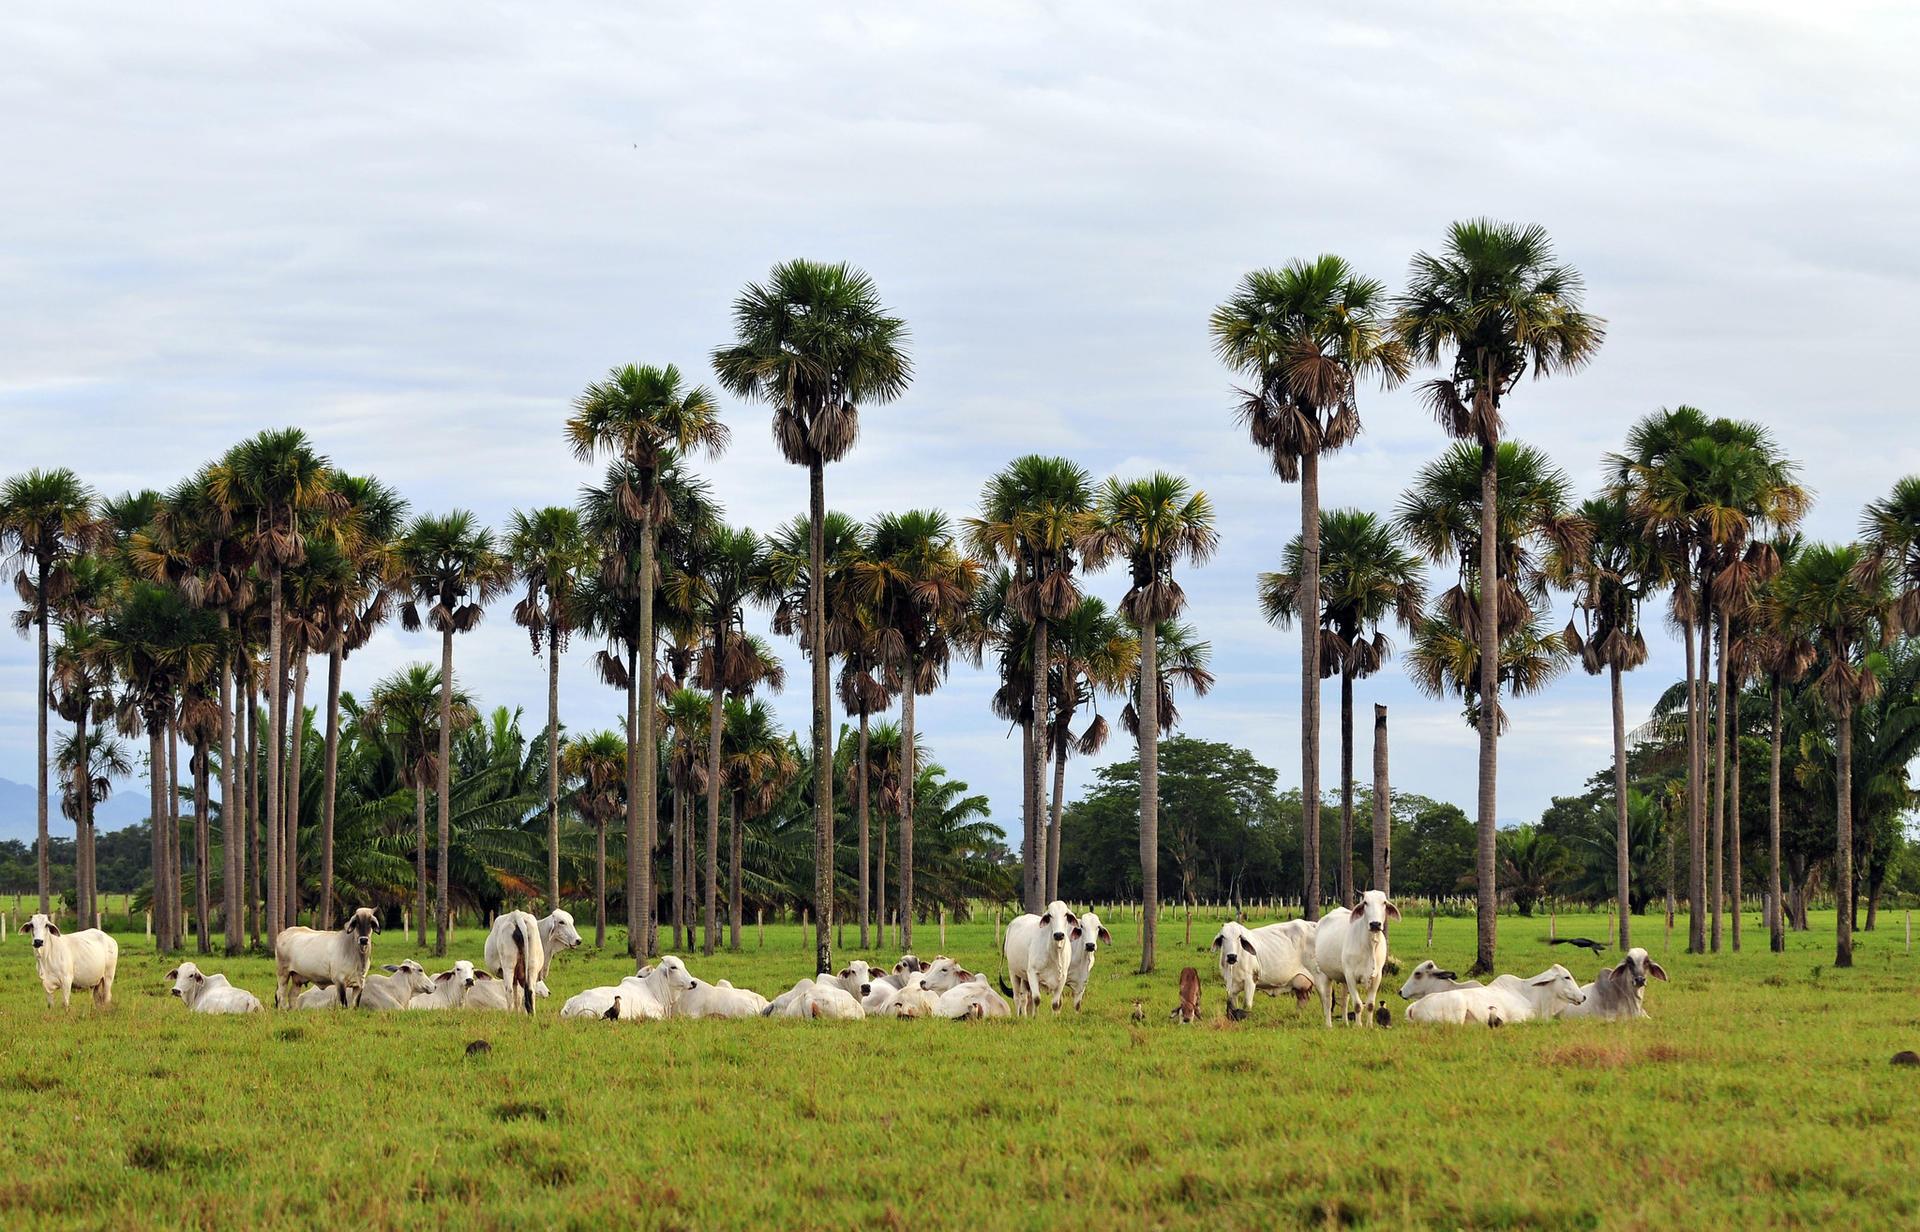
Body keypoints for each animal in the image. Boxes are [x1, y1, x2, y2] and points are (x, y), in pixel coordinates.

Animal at [1313, 886, 1405, 1020]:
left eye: (1384, 903)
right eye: (1365, 902)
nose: (1375, 924)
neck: (1369, 945)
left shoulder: (1377, 977)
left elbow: (1370, 1005)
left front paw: (1369, 1024)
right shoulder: (1350, 976)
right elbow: (1357, 1005)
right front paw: (1358, 1024)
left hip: (1343, 978)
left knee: (1344, 1000)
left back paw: (1345, 1022)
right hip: (1326, 974)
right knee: (1328, 1001)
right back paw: (1328, 1023)